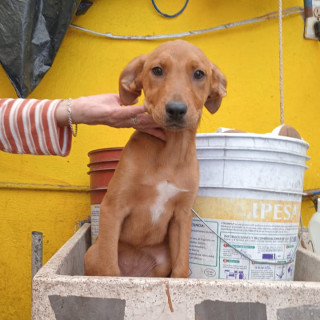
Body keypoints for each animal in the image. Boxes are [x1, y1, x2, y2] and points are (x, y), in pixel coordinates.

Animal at [84, 40, 226, 278]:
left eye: (199, 74)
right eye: (157, 70)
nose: (176, 110)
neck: (170, 152)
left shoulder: (182, 216)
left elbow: (181, 268)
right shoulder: (113, 207)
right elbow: (110, 270)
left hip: (162, 261)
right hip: (92, 253)